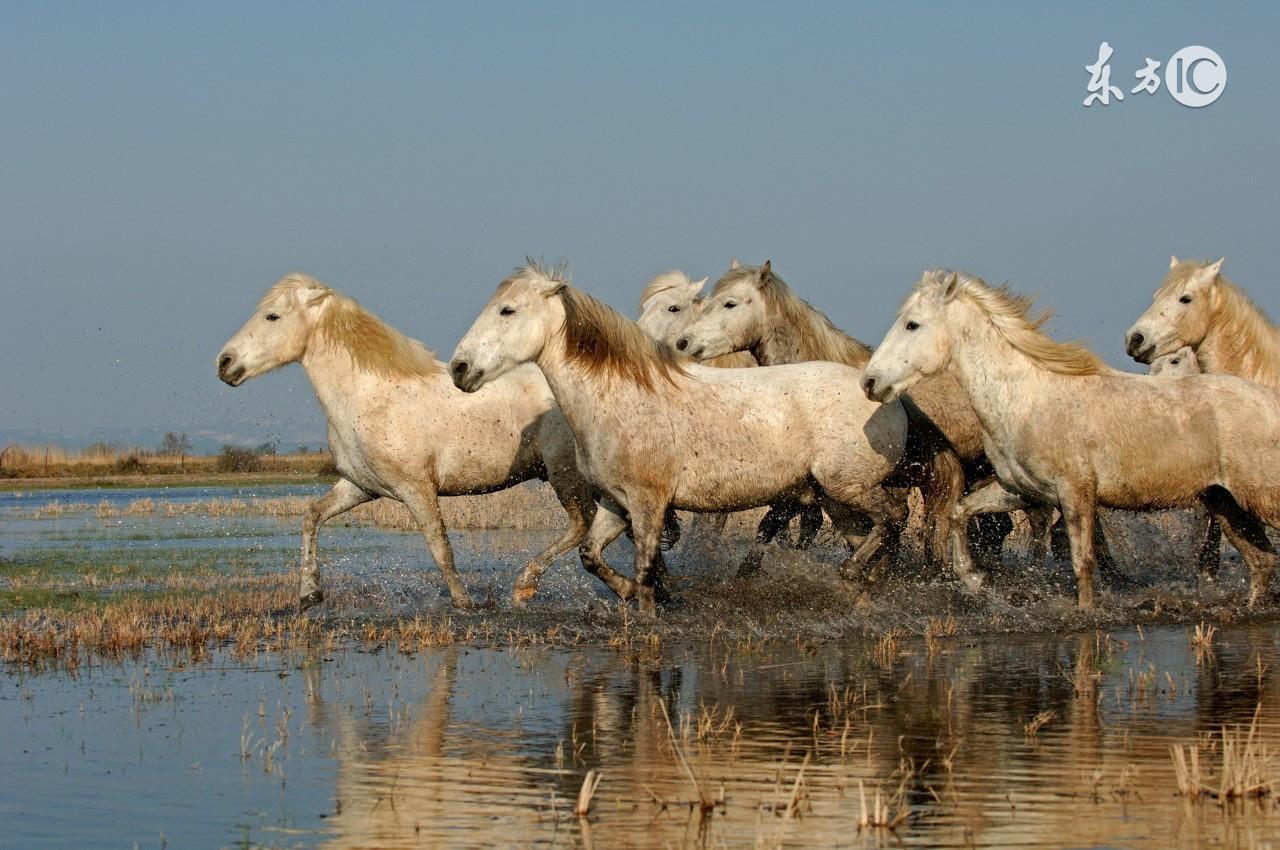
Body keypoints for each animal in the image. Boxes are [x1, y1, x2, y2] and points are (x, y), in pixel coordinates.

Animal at [217, 272, 596, 611]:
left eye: (272, 316)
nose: (224, 363)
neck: (369, 396)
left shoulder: (417, 489)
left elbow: (440, 548)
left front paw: (465, 604)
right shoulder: (360, 486)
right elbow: (312, 517)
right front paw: (310, 593)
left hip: (564, 474)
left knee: (583, 524)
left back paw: (528, 586)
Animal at [450, 262, 911, 614]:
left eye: (507, 311)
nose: (459, 368)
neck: (623, 397)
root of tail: (883, 394)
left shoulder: (649, 503)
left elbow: (646, 569)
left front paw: (647, 615)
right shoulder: (616, 502)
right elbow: (591, 557)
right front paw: (627, 593)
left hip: (848, 487)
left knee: (895, 516)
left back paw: (856, 574)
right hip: (838, 500)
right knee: (876, 534)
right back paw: (862, 589)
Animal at [860, 268, 1280, 606]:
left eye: (912, 324)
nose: (870, 382)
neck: (1027, 399)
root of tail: (1269, 400)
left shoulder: (1075, 492)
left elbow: (1082, 562)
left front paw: (1085, 614)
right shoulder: (1023, 490)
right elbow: (961, 512)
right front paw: (975, 580)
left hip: (1259, 498)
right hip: (1225, 503)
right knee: (1262, 561)